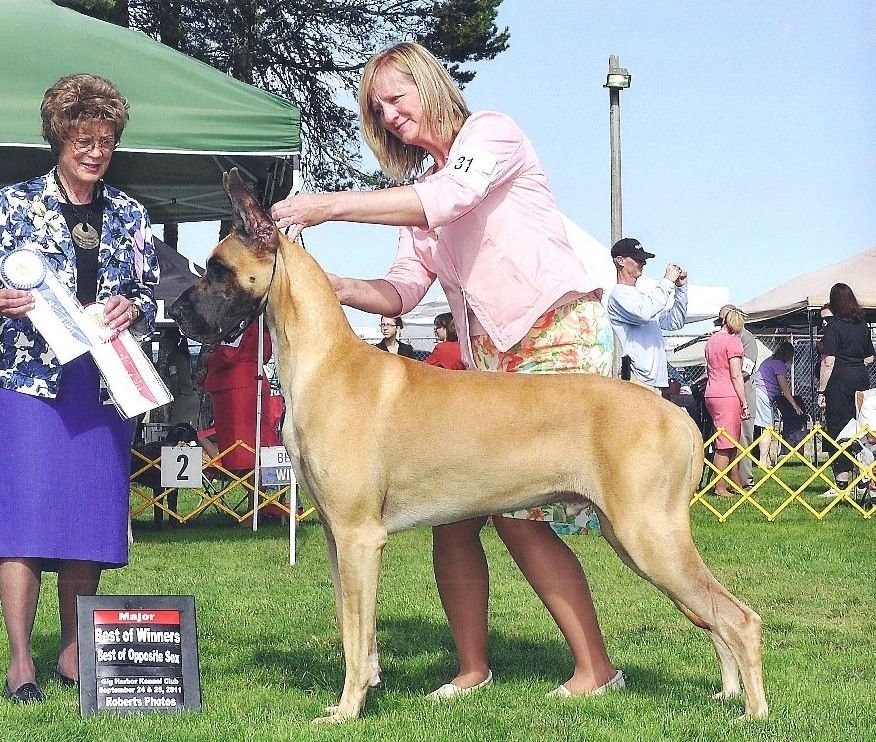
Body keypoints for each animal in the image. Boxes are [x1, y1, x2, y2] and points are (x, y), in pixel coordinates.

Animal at [168, 170, 767, 724]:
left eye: (217, 268)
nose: (176, 314)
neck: (323, 361)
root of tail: (678, 414)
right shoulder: (339, 540)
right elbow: (353, 631)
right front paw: (365, 686)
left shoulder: (360, 536)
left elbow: (356, 636)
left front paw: (346, 710)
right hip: (638, 538)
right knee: (713, 616)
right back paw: (726, 694)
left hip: (648, 534)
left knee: (738, 617)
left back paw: (754, 711)